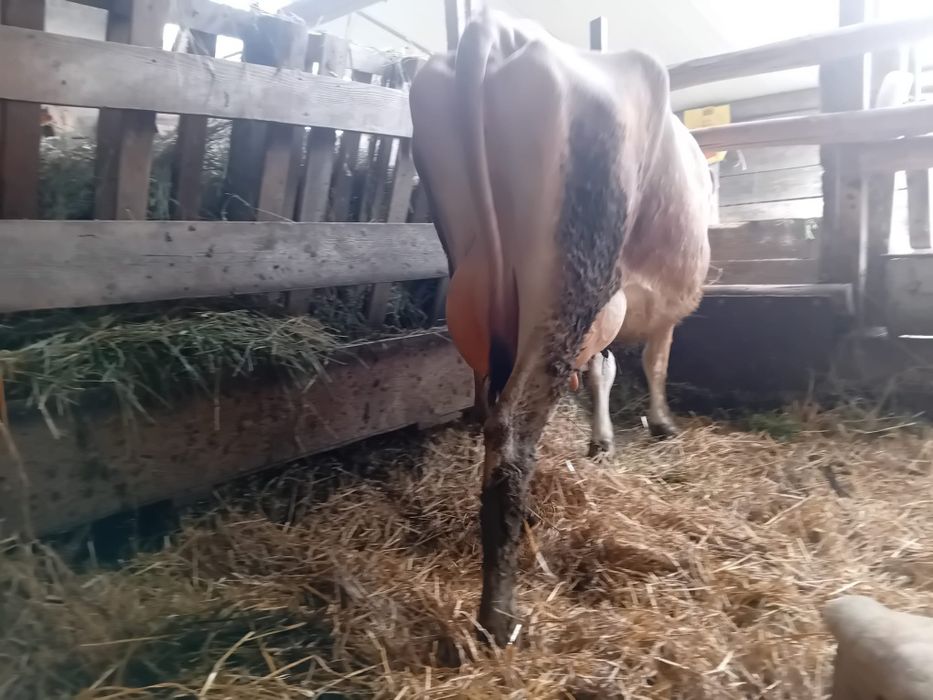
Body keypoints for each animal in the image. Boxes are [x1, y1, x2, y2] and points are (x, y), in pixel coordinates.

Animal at [409, 9, 710, 645]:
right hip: (574, 272)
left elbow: (602, 368)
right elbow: (654, 361)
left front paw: (602, 440)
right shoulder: (662, 312)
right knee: (512, 433)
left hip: (485, 277)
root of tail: (501, 30)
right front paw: (661, 423)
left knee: (493, 403)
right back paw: (499, 617)